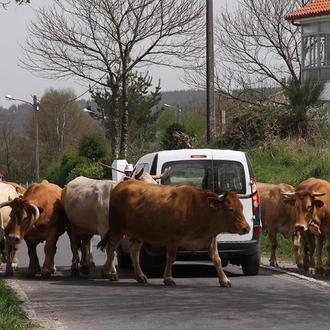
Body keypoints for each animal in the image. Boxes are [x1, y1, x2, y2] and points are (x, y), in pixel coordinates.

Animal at [98, 178, 253, 286]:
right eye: (231, 209)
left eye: (242, 207)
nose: (246, 228)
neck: (198, 209)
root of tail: (123, 183)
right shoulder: (173, 238)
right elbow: (171, 258)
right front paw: (168, 278)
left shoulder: (210, 239)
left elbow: (217, 259)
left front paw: (224, 280)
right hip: (117, 228)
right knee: (111, 249)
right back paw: (108, 272)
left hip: (137, 233)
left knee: (134, 252)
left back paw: (140, 275)